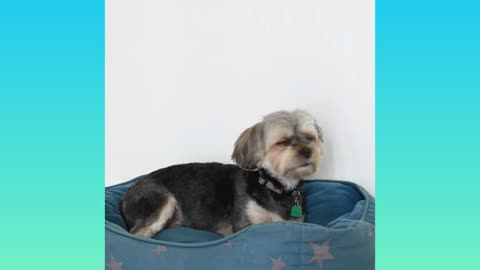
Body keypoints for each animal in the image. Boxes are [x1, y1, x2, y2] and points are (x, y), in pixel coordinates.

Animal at [119, 108, 326, 237]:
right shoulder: (245, 225)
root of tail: (125, 196)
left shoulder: (296, 222)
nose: (307, 151)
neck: (275, 188)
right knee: (138, 235)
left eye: (310, 138)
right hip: (159, 200)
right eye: (282, 142)